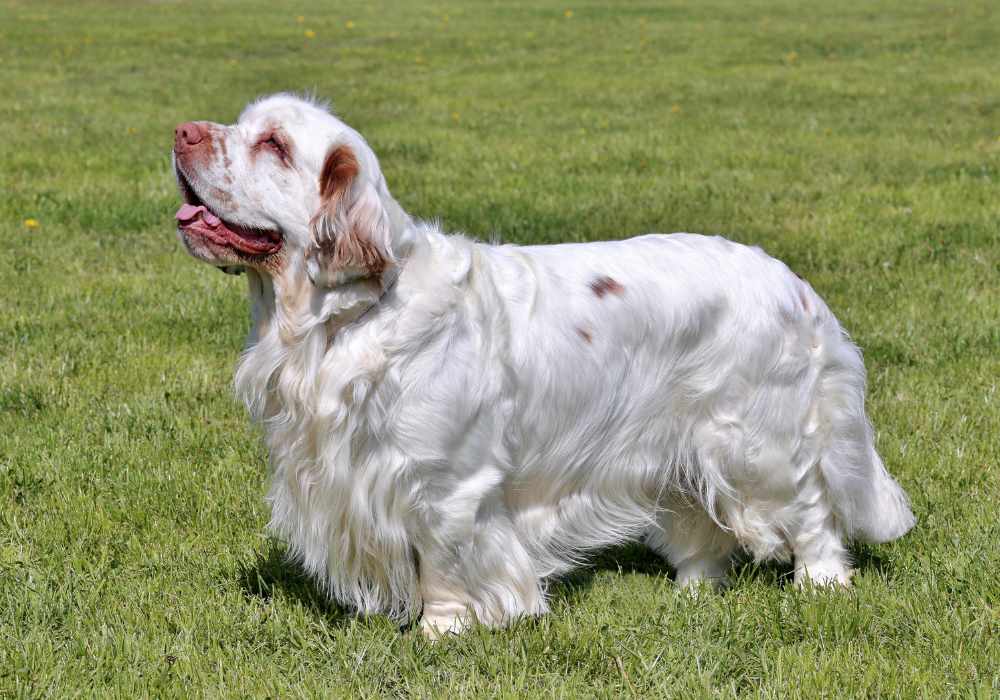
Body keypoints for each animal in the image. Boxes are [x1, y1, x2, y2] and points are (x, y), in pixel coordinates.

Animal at [170, 93, 916, 636]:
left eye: (273, 145)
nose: (180, 132)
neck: (345, 317)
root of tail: (794, 283)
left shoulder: (446, 483)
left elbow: (442, 562)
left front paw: (441, 632)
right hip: (679, 441)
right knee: (701, 521)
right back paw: (692, 591)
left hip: (756, 441)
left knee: (812, 508)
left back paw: (822, 582)